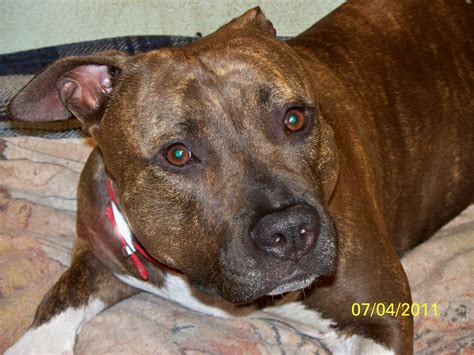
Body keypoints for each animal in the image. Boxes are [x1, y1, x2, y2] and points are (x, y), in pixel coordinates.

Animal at [4, 1, 474, 354]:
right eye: (177, 154)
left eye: (294, 118)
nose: (290, 231)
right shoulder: (97, 258)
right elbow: (54, 307)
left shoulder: (381, 314)